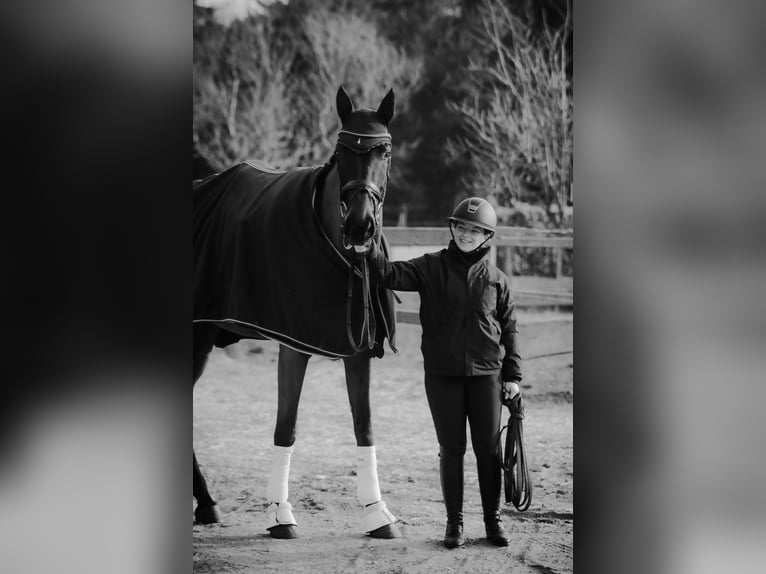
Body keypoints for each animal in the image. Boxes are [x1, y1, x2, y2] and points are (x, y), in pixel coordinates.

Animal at [193, 86, 401, 540]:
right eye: (341, 152)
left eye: (385, 151)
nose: (360, 227)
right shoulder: (294, 345)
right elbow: (286, 426)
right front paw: (280, 513)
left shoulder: (359, 351)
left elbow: (364, 424)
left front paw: (376, 511)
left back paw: (207, 504)